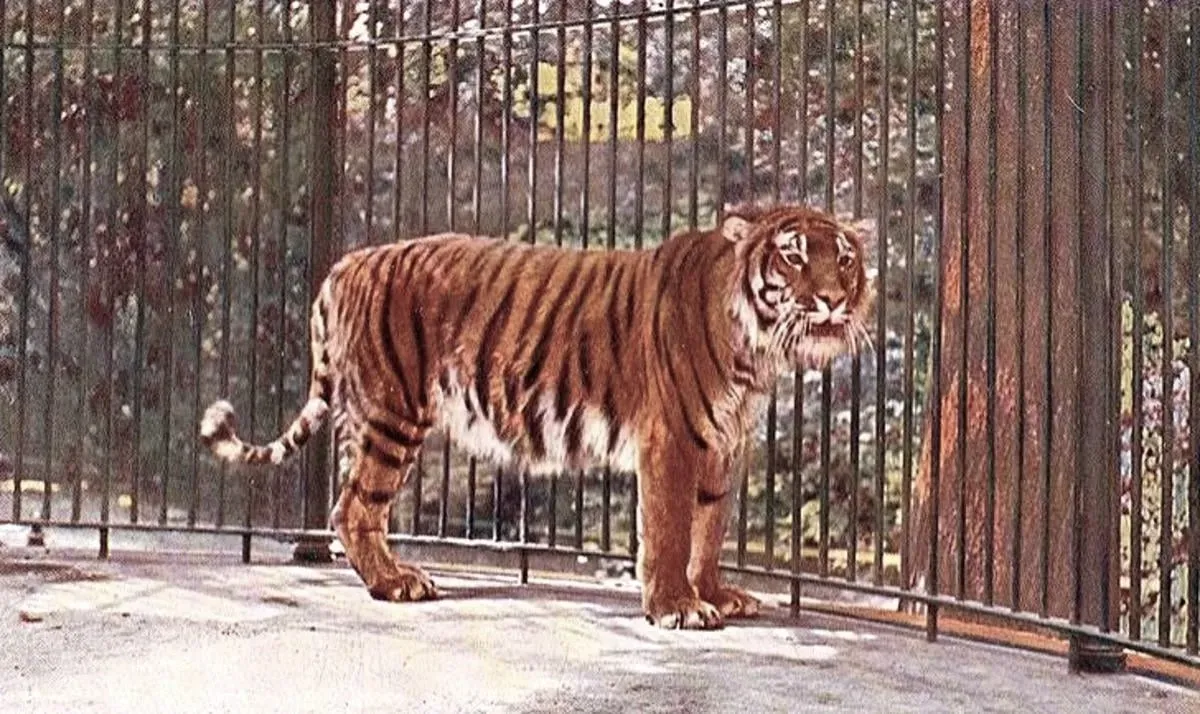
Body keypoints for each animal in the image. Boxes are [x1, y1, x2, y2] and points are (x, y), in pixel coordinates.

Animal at [200, 203, 873, 630]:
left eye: (843, 258)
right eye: (793, 257)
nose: (834, 300)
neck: (755, 350)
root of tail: (347, 263)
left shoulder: (721, 447)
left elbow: (708, 531)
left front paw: (713, 595)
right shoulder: (673, 441)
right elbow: (671, 530)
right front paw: (676, 608)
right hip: (391, 414)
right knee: (353, 507)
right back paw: (396, 583)